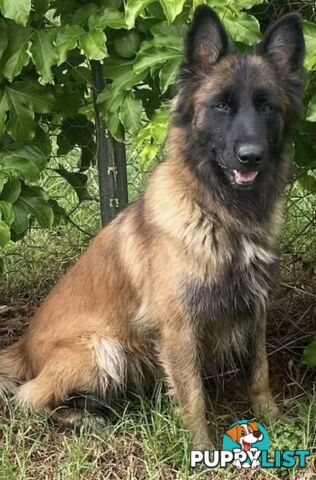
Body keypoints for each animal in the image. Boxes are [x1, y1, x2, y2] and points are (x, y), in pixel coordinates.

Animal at [0, 5, 306, 450]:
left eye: (267, 107)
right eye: (221, 106)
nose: (251, 156)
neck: (220, 212)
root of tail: (22, 348)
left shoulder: (255, 308)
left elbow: (260, 372)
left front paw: (272, 420)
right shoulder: (178, 328)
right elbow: (193, 396)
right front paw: (202, 450)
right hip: (102, 349)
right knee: (29, 398)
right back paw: (83, 419)